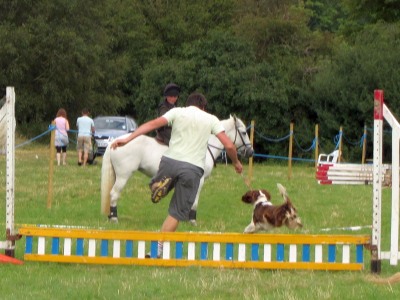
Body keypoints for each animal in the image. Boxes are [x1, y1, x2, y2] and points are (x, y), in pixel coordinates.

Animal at [100, 115, 253, 223]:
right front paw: (192, 220)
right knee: (114, 193)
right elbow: (194, 200)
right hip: (123, 176)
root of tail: (115, 142)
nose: (251, 152)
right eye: (244, 132)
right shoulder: (199, 181)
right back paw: (114, 218)